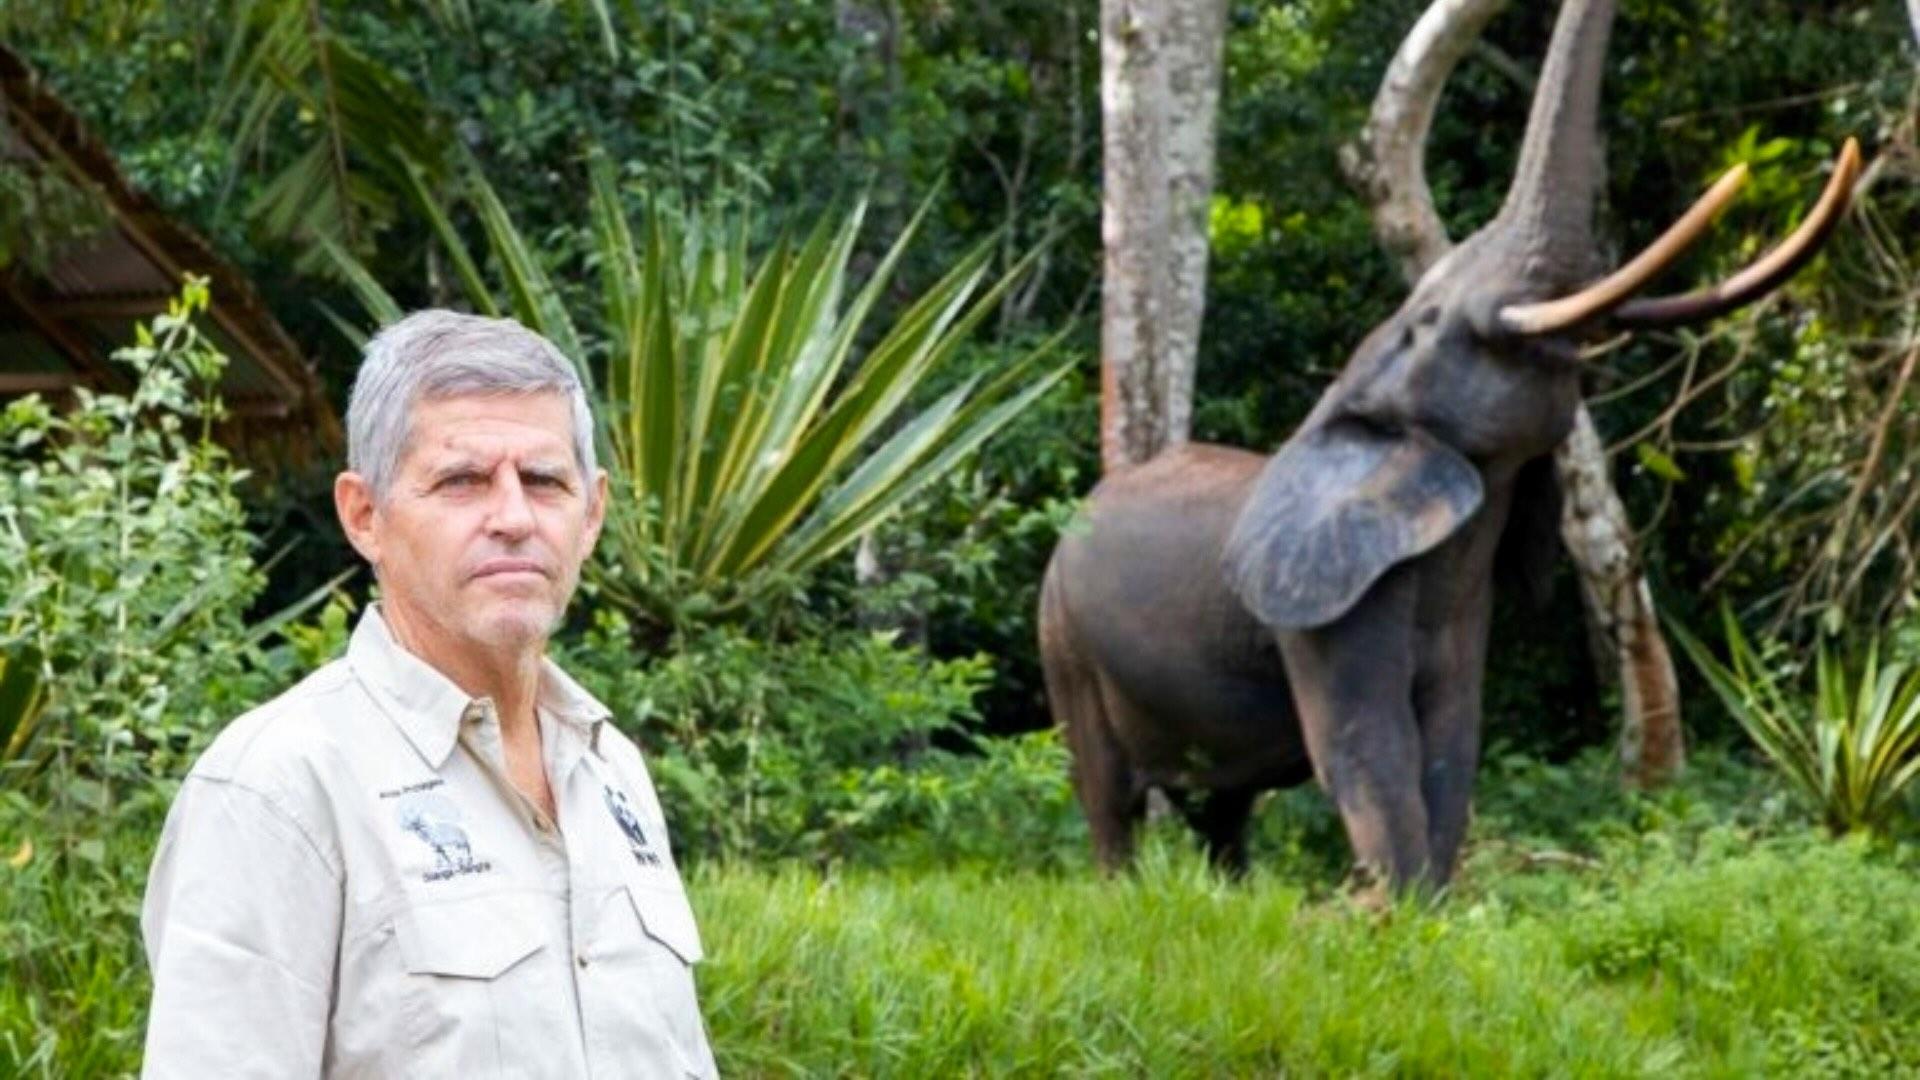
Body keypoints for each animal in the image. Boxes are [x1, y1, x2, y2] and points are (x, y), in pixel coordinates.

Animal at [1040, 0, 1861, 892]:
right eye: (1428, 323)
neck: (1353, 405)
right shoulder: (1326, 608)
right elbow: (1367, 746)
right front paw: (1384, 905)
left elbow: (1452, 739)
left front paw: (1421, 903)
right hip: (1062, 637)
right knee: (1106, 792)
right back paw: (1124, 886)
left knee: (1224, 805)